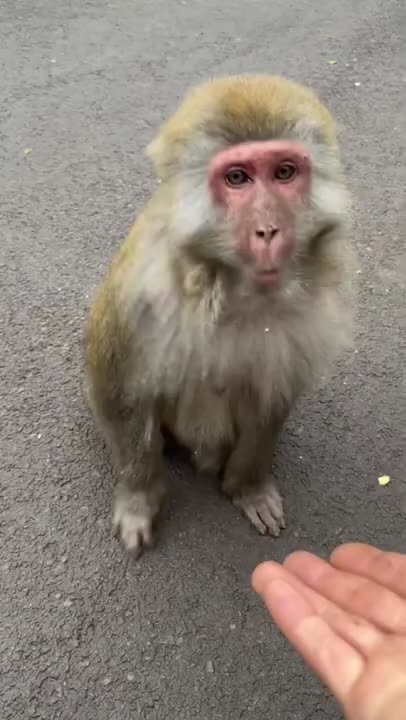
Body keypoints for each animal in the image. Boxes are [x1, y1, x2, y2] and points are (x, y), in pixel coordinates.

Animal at [85, 74, 355, 556]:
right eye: (237, 178)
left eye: (284, 172)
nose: (268, 230)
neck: (228, 286)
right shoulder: (141, 293)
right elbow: (119, 386)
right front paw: (139, 498)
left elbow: (272, 388)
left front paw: (248, 486)